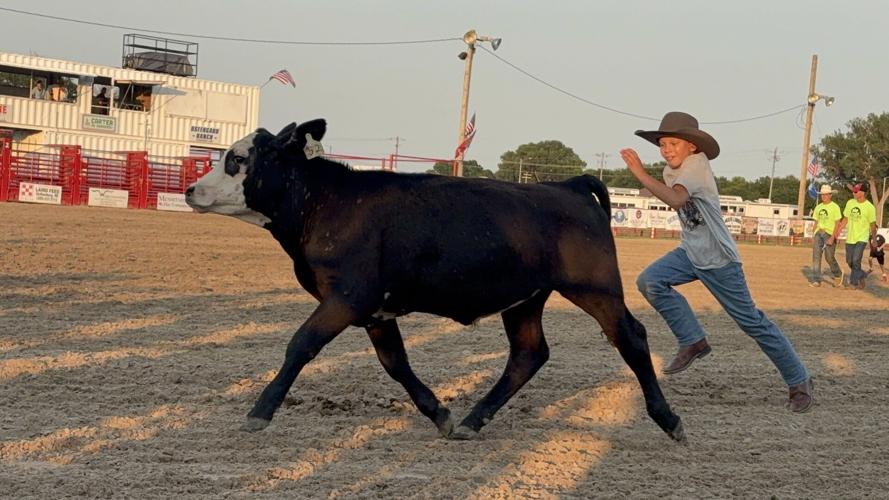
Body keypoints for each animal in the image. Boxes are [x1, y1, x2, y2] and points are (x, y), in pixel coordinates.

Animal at [185, 119, 684, 442]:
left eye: (238, 158)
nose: (190, 190)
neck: (326, 203)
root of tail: (569, 186)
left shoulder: (347, 298)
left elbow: (301, 345)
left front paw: (259, 412)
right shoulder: (375, 312)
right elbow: (395, 364)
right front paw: (440, 413)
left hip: (596, 289)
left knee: (632, 338)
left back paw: (669, 419)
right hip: (525, 299)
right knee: (528, 354)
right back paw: (471, 421)